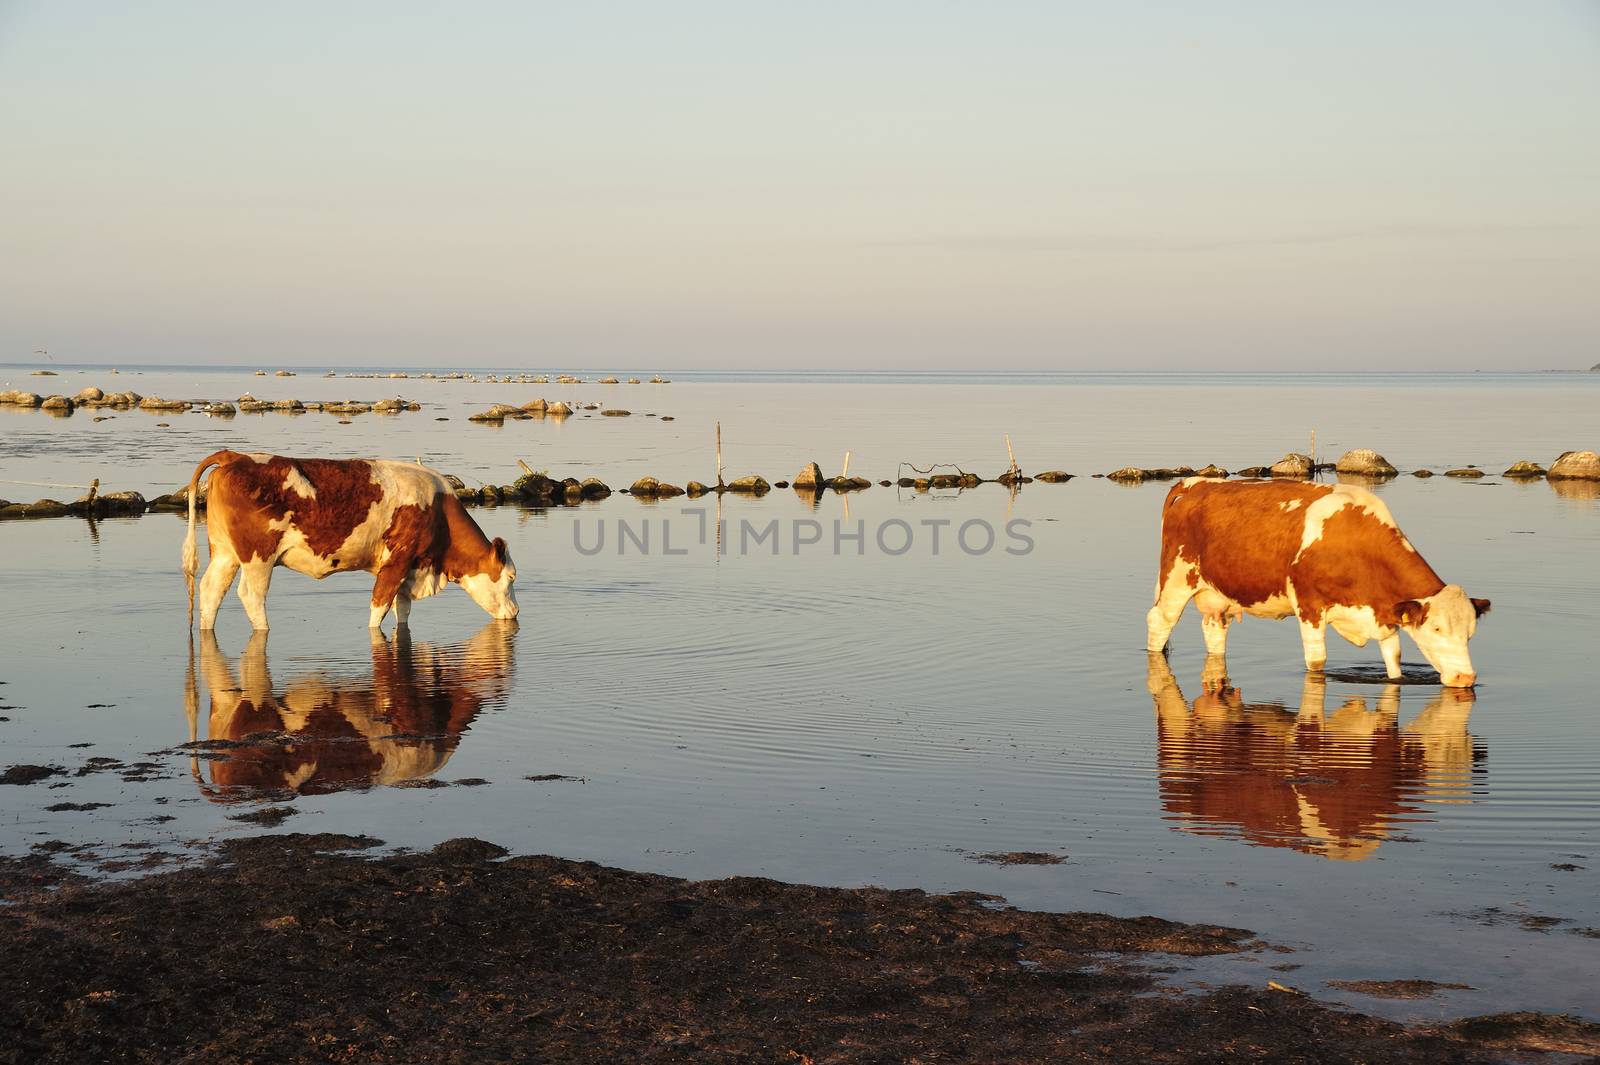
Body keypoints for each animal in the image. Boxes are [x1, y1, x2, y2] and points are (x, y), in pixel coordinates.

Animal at [181, 450, 518, 630]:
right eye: (511, 576)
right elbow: (378, 610)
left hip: (224, 551)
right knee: (251, 595)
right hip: (258, 555)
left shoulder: (408, 566)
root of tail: (234, 456)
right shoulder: (397, 562)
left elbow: (403, 610)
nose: (515, 612)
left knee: (211, 590)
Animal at [1145, 476, 1491, 684]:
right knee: (1159, 621)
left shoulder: (1384, 615)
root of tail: (1195, 481)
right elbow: (1317, 662)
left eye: (1471, 632)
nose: (1466, 679)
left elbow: (1394, 662)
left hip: (1220, 596)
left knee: (1215, 630)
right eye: (1437, 628)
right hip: (1177, 579)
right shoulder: (1309, 607)